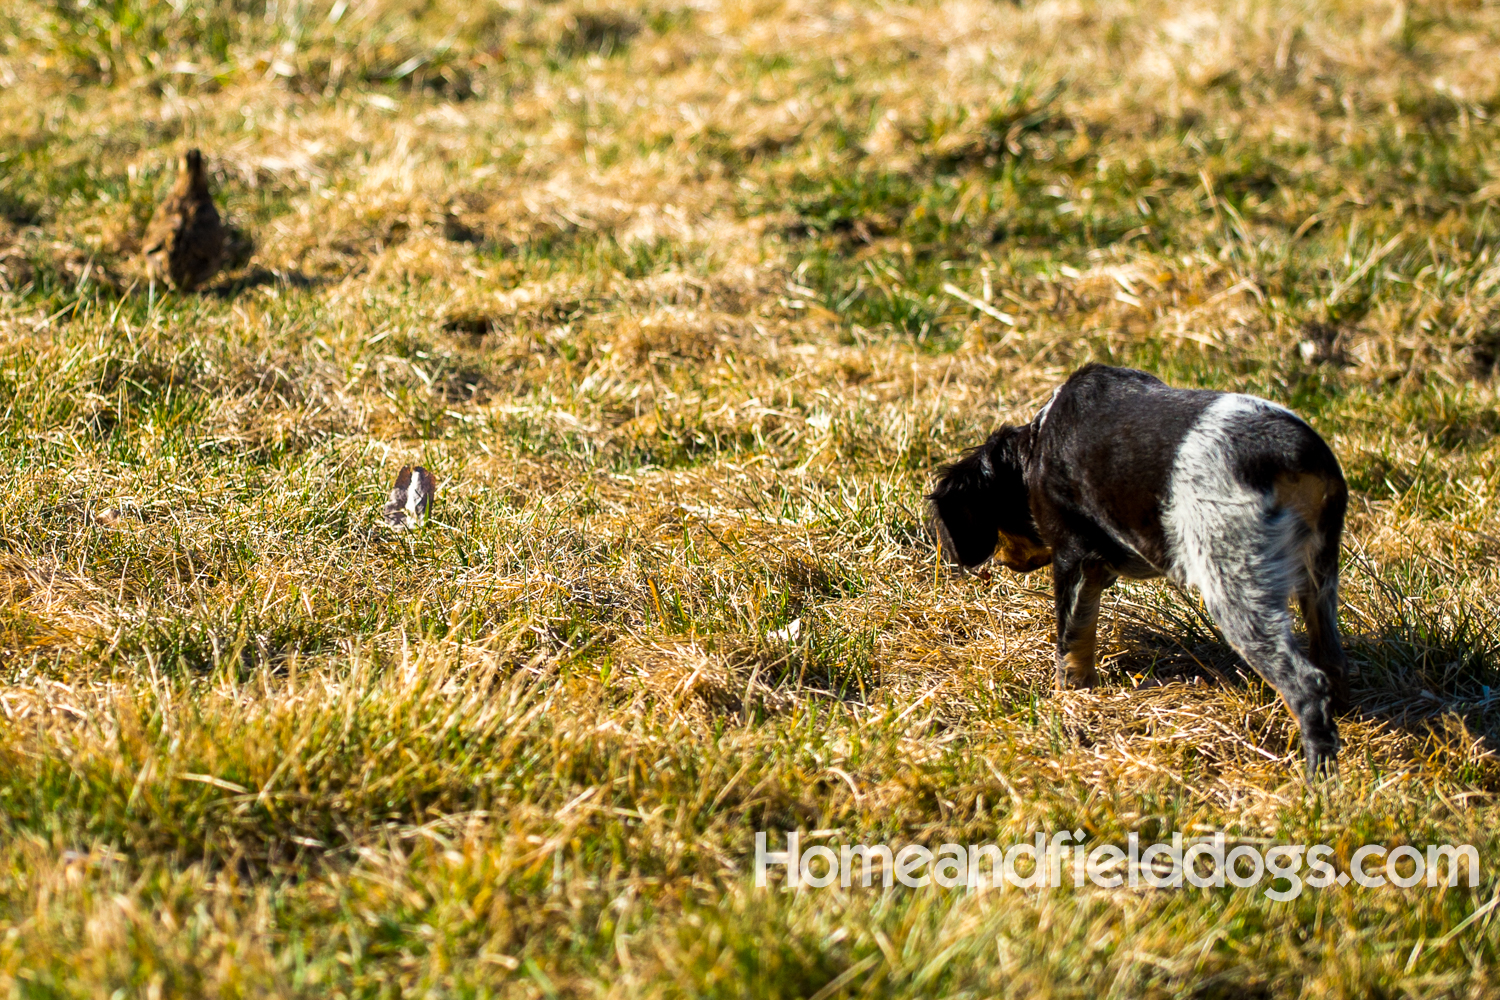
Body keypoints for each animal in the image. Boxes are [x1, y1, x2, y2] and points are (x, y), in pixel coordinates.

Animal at [930, 364, 1356, 779]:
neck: (1035, 447)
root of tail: (1299, 456)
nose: (1002, 563)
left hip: (1234, 581)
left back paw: (1318, 779)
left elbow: (1072, 639)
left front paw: (1070, 698)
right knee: (1331, 660)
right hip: (1318, 573)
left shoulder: (1075, 555)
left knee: (1306, 683)